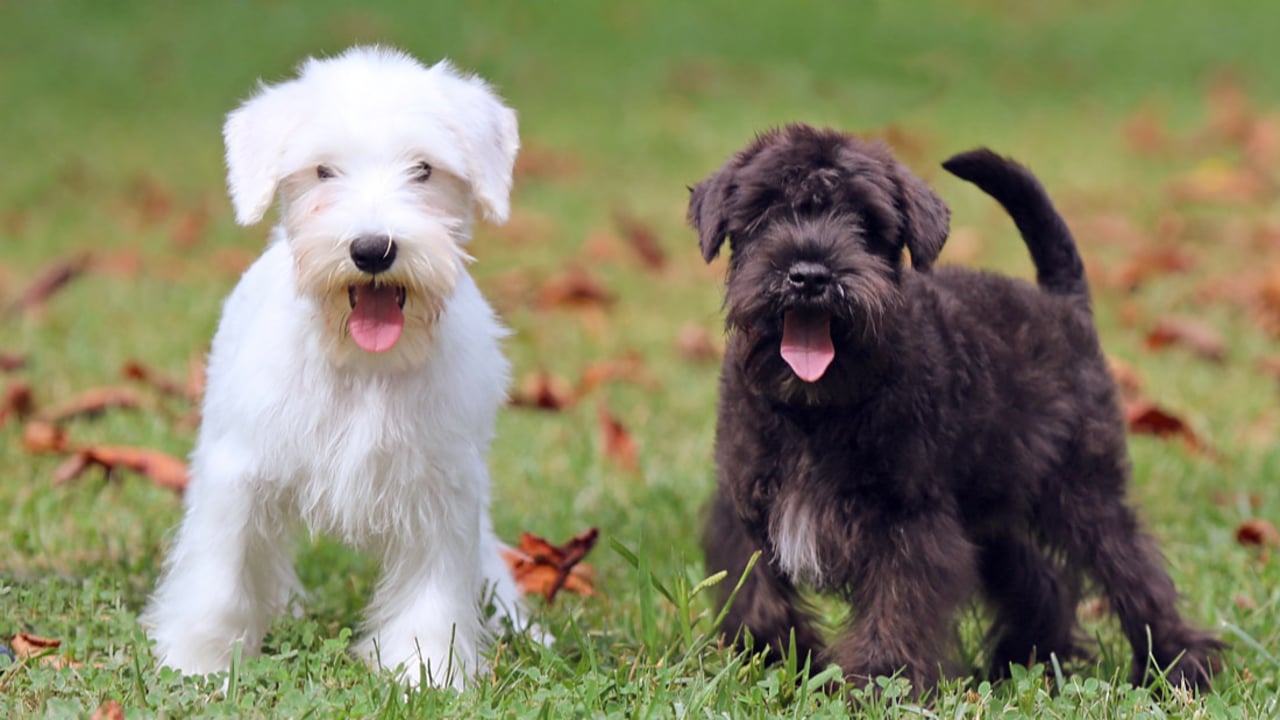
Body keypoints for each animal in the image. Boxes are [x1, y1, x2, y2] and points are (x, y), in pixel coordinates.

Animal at [145, 44, 529, 681]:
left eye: (423, 170)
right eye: (324, 171)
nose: (372, 250)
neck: (362, 363)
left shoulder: (442, 487)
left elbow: (434, 591)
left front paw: (427, 671)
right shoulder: (239, 472)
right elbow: (221, 576)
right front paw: (199, 660)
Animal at [691, 126, 1218, 691]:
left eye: (866, 222)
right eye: (765, 211)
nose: (809, 275)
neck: (815, 410)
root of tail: (1062, 302)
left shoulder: (907, 522)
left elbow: (895, 609)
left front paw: (879, 682)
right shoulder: (747, 510)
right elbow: (758, 597)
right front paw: (780, 657)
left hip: (1084, 492)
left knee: (1135, 572)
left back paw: (1181, 664)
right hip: (989, 509)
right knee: (1043, 579)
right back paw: (1023, 657)